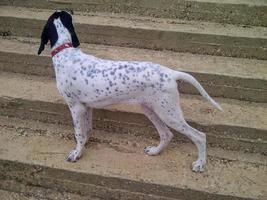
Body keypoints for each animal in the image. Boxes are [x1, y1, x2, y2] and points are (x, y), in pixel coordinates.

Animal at [37, 10, 222, 172]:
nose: (73, 9)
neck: (66, 51)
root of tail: (170, 73)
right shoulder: (86, 107)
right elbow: (86, 131)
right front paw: (83, 146)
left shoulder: (75, 107)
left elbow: (79, 133)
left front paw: (76, 153)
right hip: (151, 110)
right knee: (166, 134)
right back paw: (155, 151)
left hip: (169, 113)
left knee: (199, 136)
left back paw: (200, 164)